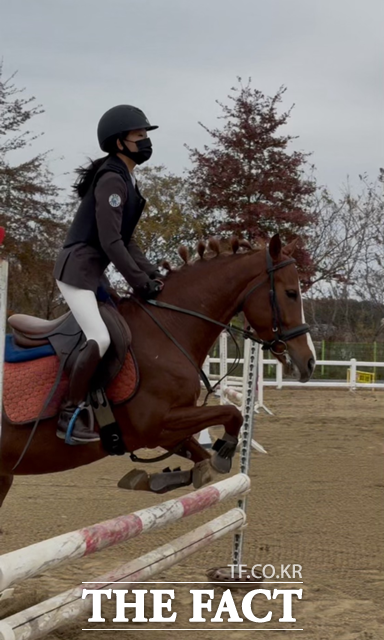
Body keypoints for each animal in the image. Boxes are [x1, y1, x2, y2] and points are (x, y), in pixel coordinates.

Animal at [0, 235, 316, 504]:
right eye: (290, 293)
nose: (309, 362)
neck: (167, 329)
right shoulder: (157, 424)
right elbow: (232, 414)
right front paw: (224, 451)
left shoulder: (170, 433)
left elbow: (202, 459)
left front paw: (159, 478)